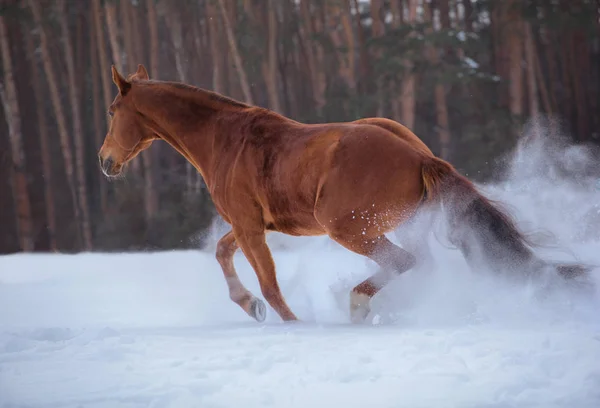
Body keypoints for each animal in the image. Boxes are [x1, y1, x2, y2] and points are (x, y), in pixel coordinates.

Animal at [98, 63, 592, 324]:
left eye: (112, 109)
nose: (105, 161)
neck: (225, 139)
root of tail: (419, 157)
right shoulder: (250, 224)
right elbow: (223, 254)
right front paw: (249, 306)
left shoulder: (250, 225)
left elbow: (271, 285)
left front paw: (289, 323)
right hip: (399, 224)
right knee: (420, 264)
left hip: (350, 229)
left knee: (403, 263)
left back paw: (357, 307)